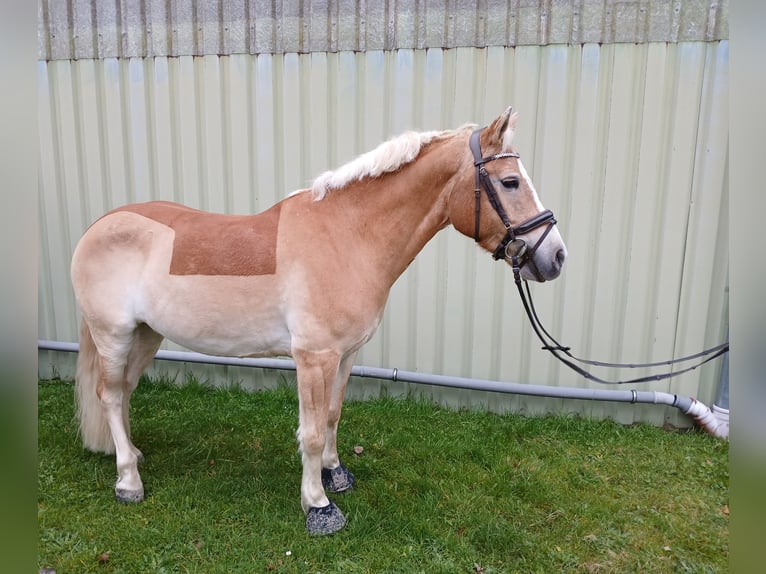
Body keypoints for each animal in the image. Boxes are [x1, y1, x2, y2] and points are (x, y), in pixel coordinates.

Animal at [72, 106, 568, 536]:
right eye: (510, 182)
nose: (556, 256)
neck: (348, 236)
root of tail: (98, 226)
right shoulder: (313, 357)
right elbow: (310, 433)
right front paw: (318, 506)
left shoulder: (344, 355)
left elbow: (332, 415)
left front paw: (335, 475)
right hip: (113, 335)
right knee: (110, 395)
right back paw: (128, 482)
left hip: (146, 335)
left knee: (125, 391)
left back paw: (132, 455)